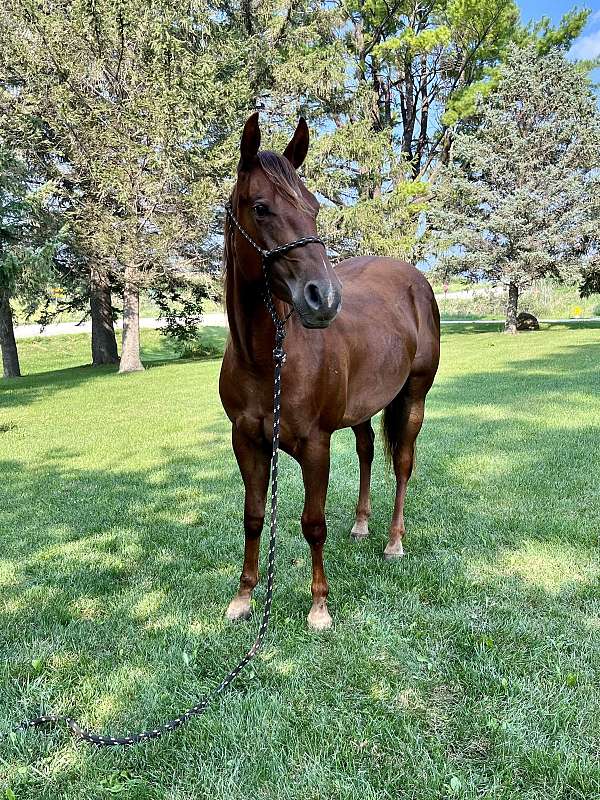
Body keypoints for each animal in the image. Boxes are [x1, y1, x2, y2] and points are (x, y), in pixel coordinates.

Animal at [220, 112, 440, 628]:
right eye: (261, 208)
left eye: (314, 207)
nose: (324, 298)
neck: (268, 360)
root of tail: (414, 278)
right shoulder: (247, 442)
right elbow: (253, 516)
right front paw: (244, 597)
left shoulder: (315, 446)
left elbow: (312, 524)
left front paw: (319, 607)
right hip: (362, 407)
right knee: (366, 451)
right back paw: (361, 525)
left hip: (414, 397)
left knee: (403, 463)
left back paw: (393, 542)